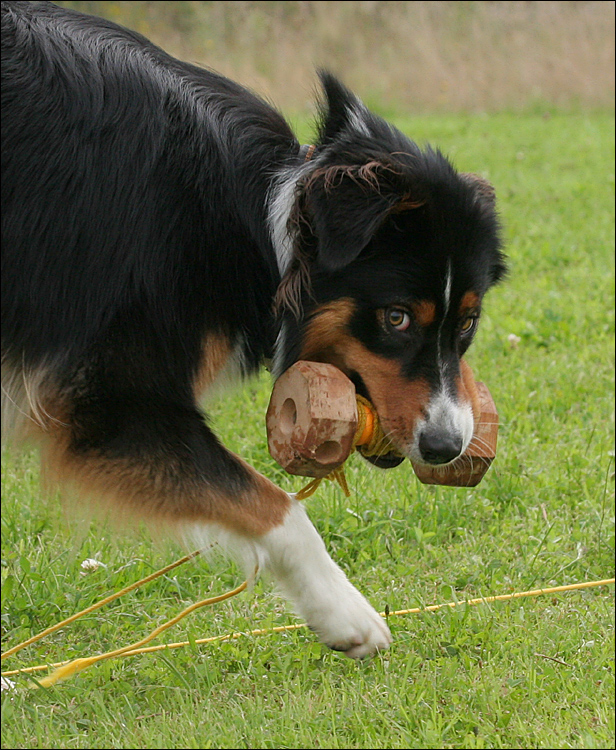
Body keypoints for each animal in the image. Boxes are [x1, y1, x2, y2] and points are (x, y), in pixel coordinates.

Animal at [1, 0, 506, 656]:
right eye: (394, 317)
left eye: (466, 322)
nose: (446, 447)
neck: (263, 215)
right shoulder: (107, 401)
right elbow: (277, 506)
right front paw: (346, 615)